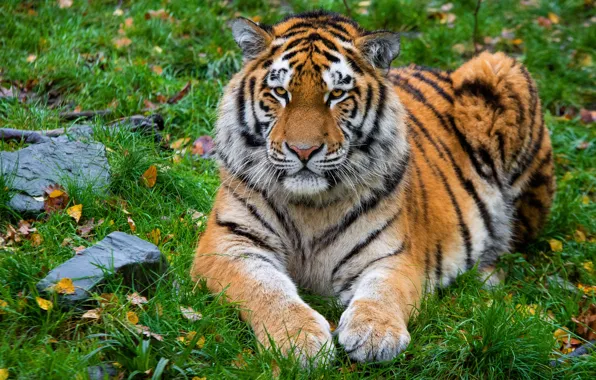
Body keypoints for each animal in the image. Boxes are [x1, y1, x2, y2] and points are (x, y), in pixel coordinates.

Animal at [190, 10, 556, 364]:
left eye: (336, 94)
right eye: (280, 92)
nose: (303, 151)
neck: (309, 207)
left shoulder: (393, 255)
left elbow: (383, 291)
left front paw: (375, 335)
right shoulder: (228, 242)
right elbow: (266, 290)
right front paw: (299, 340)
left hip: (500, 69)